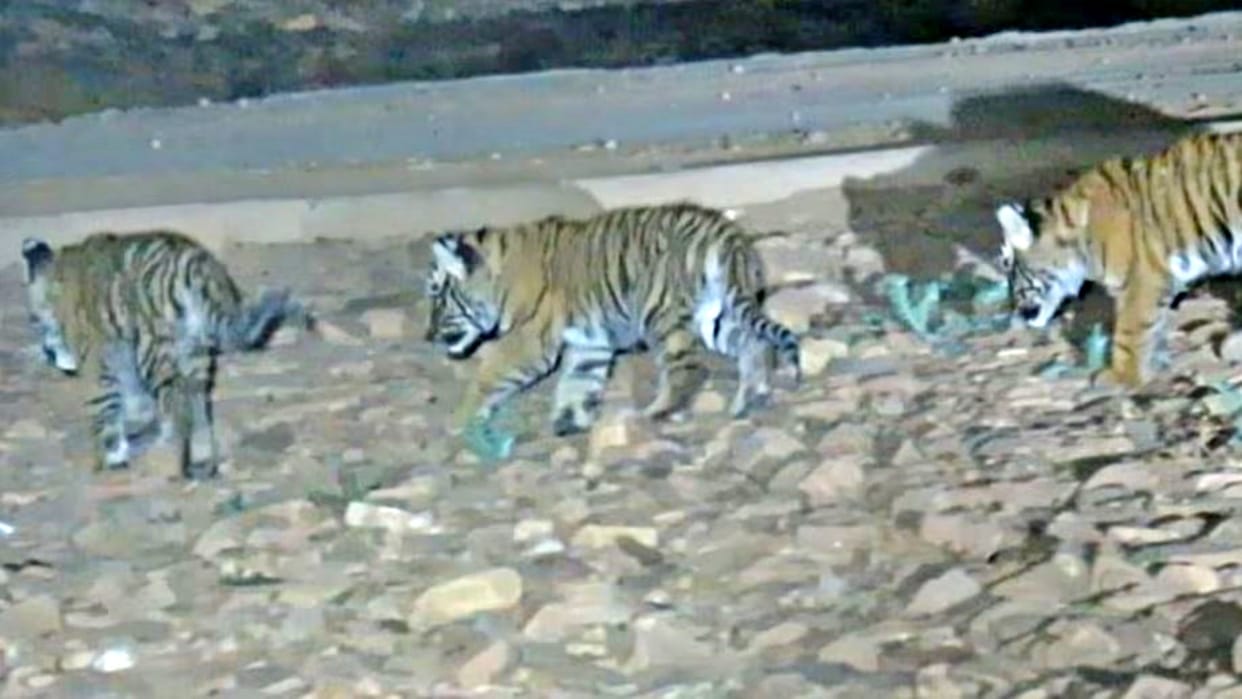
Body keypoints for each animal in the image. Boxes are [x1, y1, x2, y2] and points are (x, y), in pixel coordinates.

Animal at [20, 230, 310, 479]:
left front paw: (112, 458)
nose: (51, 354)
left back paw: (175, 462)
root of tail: (195, 264)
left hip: (155, 352)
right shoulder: (123, 359)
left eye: (36, 321)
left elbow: (105, 413)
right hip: (194, 354)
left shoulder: (99, 364)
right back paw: (203, 462)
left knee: (177, 407)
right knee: (198, 407)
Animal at [422, 202, 802, 438]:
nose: (428, 335)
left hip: (660, 314)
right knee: (754, 344)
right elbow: (578, 382)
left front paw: (458, 421)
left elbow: (488, 378)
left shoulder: (528, 341)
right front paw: (569, 421)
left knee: (689, 368)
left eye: (437, 295)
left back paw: (655, 412)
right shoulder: (588, 342)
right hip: (716, 316)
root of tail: (728, 234)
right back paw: (749, 399)